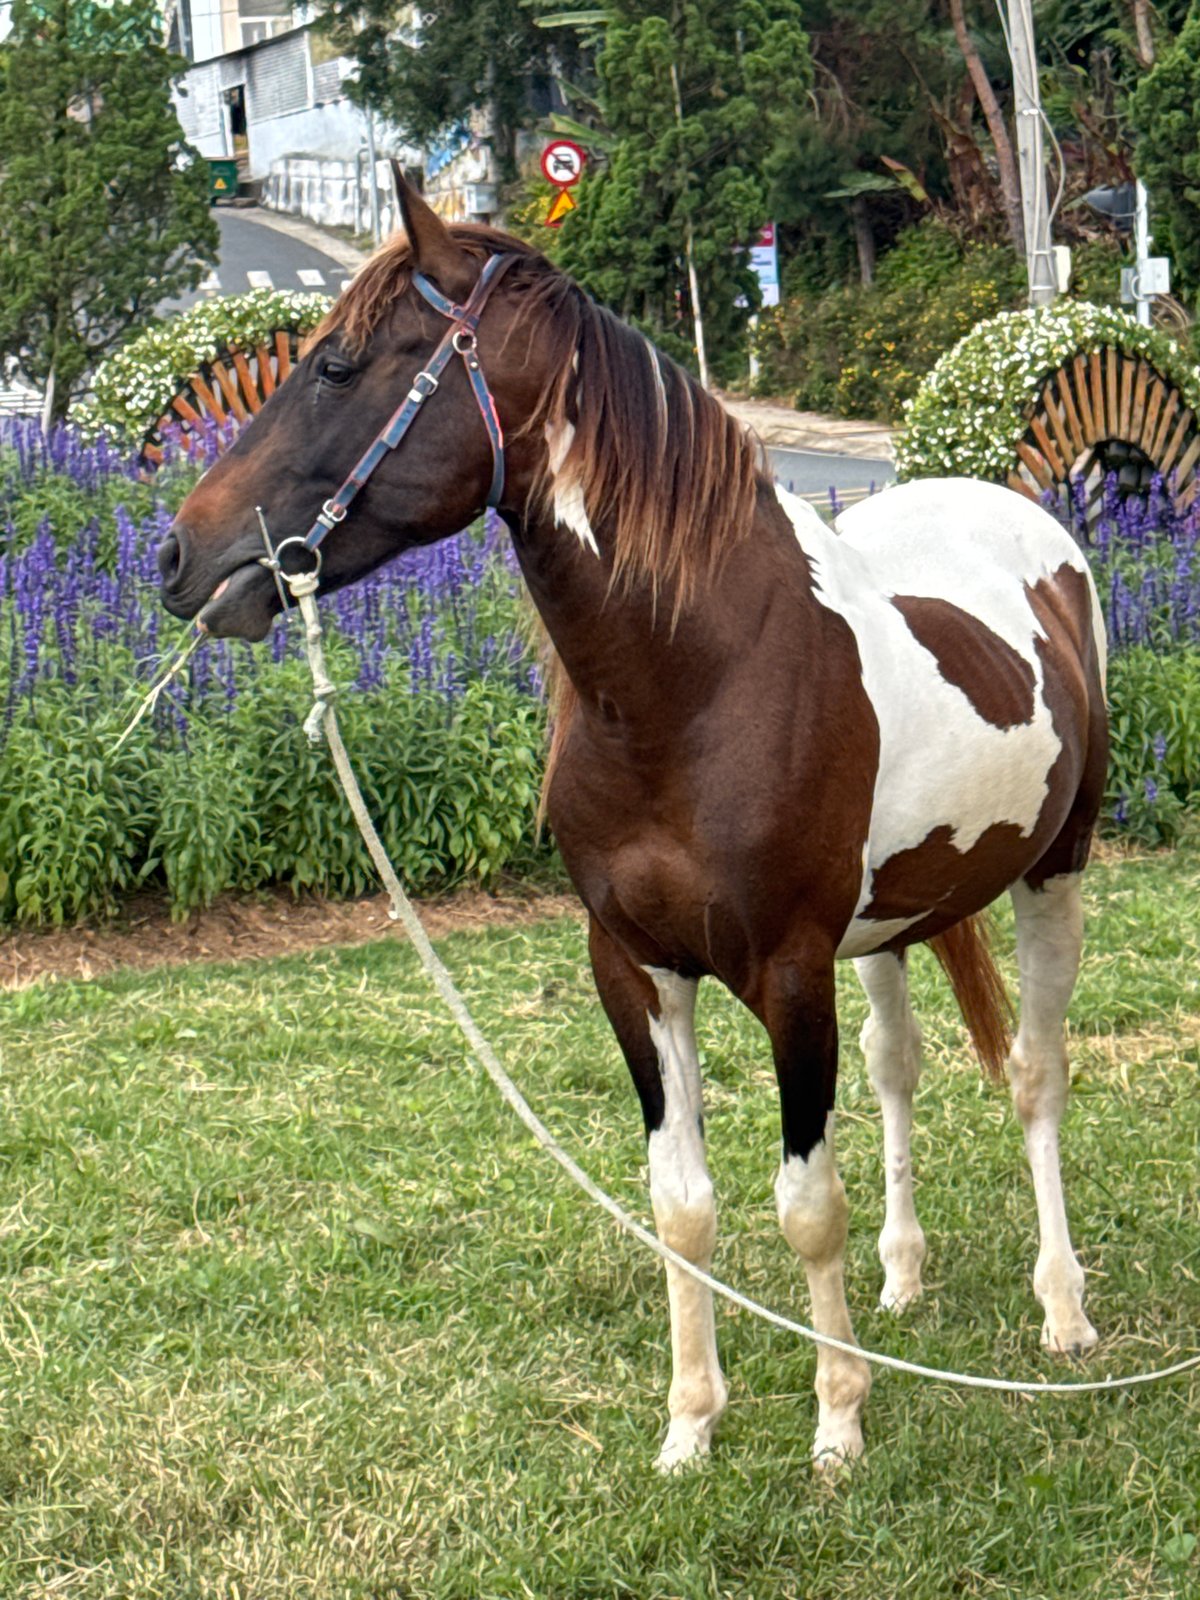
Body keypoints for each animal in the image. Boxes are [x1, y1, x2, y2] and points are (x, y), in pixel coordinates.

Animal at [159, 172, 1108, 1471]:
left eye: (339, 366)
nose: (177, 554)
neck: (697, 679)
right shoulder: (635, 968)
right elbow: (682, 1205)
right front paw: (691, 1425)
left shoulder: (789, 972)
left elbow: (805, 1204)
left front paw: (837, 1424)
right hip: (890, 923)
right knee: (899, 1067)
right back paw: (905, 1282)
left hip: (1052, 874)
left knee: (1035, 1073)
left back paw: (1062, 1309)